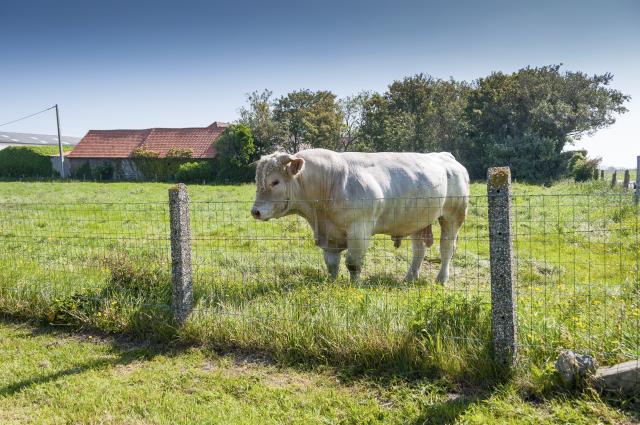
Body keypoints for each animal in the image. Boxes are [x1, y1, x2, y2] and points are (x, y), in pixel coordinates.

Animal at [251, 147, 470, 284]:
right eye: (257, 180)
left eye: (275, 182)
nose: (255, 211)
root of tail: (445, 156)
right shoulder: (329, 235)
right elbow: (332, 264)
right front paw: (331, 284)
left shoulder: (359, 230)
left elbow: (353, 263)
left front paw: (355, 286)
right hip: (418, 219)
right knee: (419, 250)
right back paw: (410, 277)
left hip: (453, 215)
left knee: (446, 248)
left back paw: (441, 279)